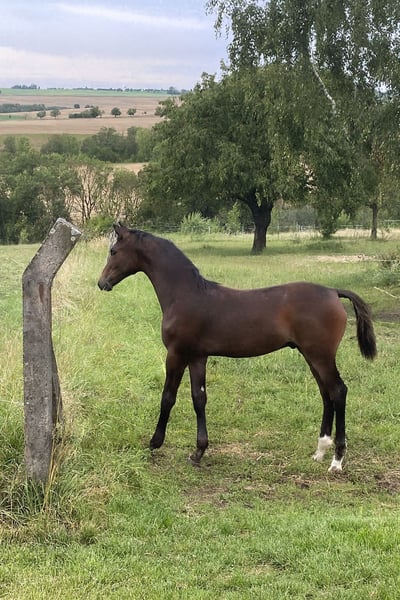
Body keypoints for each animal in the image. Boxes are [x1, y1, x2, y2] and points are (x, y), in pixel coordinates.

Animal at [98, 223, 377, 472]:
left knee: (338, 392)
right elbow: (199, 398)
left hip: (320, 356)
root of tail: (333, 292)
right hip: (312, 356)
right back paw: (320, 451)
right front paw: (198, 451)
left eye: (113, 251)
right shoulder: (198, 357)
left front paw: (154, 443)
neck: (186, 294)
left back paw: (337, 460)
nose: (102, 283)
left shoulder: (176, 354)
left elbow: (168, 397)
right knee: (326, 394)